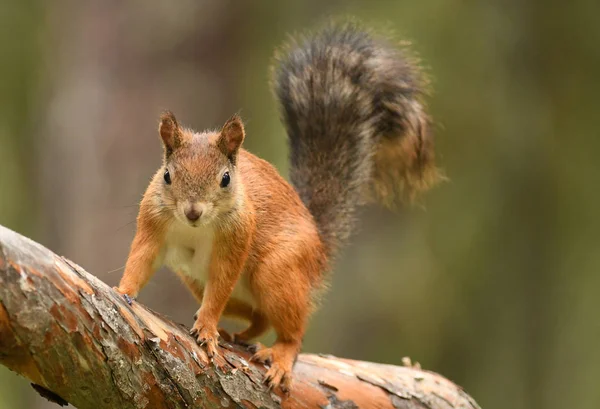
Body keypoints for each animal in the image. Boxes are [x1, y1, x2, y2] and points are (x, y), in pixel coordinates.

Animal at [115, 20, 438, 390]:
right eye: (167, 175)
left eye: (225, 178)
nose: (193, 211)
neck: (195, 228)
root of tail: (319, 247)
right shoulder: (153, 224)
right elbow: (141, 258)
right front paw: (122, 291)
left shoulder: (237, 237)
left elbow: (220, 285)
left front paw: (208, 329)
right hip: (198, 280)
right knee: (260, 318)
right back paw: (238, 334)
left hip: (278, 273)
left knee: (291, 330)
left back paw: (279, 355)